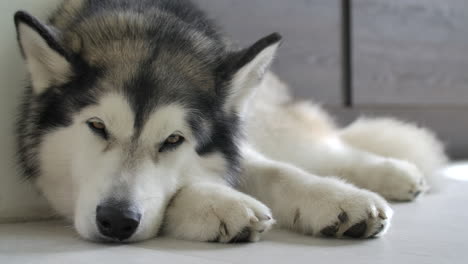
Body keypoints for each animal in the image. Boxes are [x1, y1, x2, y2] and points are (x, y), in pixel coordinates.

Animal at [12, 0, 448, 243]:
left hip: (268, 121)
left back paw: (395, 172)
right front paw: (220, 205)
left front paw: (338, 199)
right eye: (98, 126)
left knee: (324, 148)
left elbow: (277, 171)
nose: (117, 221)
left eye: (173, 140)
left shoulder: (233, 145)